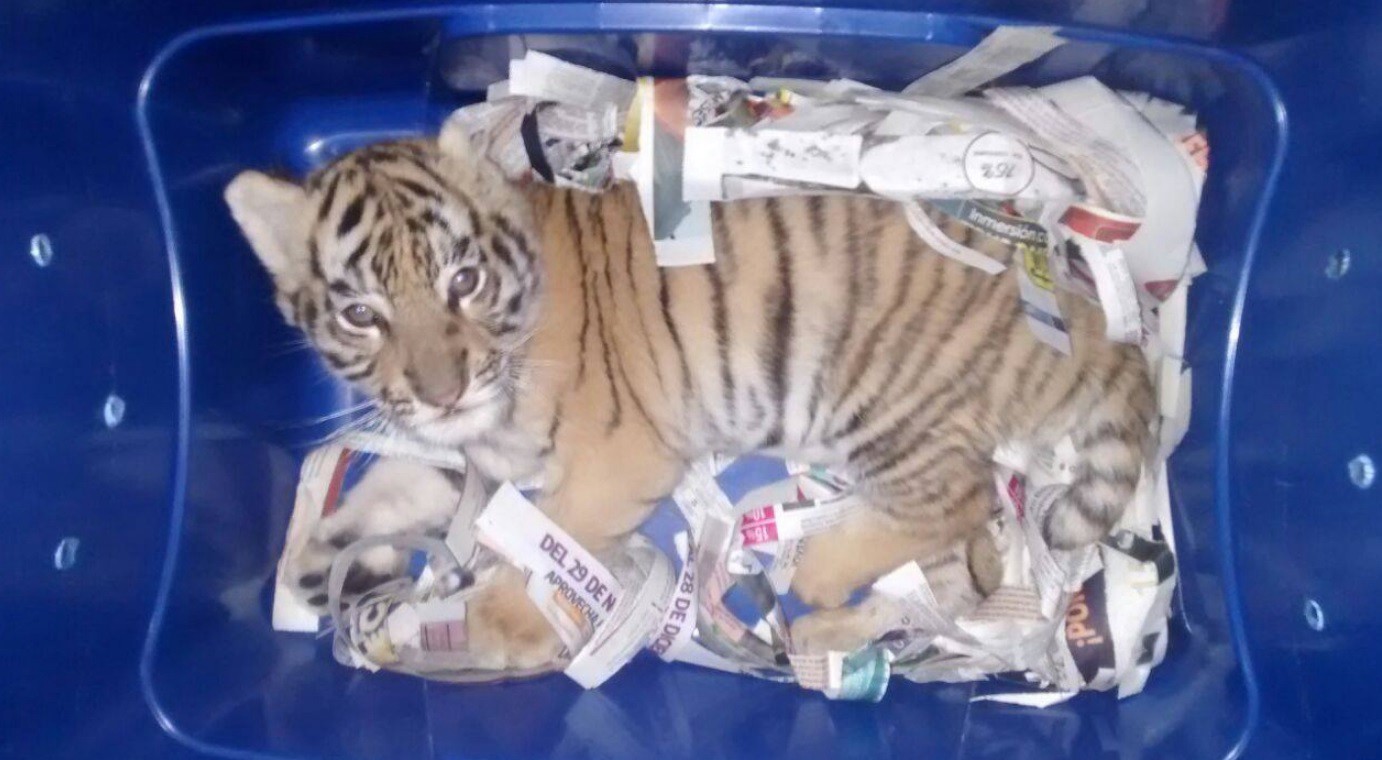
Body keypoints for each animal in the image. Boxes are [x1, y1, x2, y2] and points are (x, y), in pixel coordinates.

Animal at [224, 118, 1155, 670]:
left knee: (956, 500)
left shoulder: (615, 456)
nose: (443, 392)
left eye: (464, 280)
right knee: (963, 576)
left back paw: (819, 574)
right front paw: (318, 564)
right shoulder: (475, 457)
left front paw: (485, 626)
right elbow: (389, 489)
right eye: (360, 314)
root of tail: (1087, 314)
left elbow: (549, 547)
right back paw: (827, 636)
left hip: (885, 403)